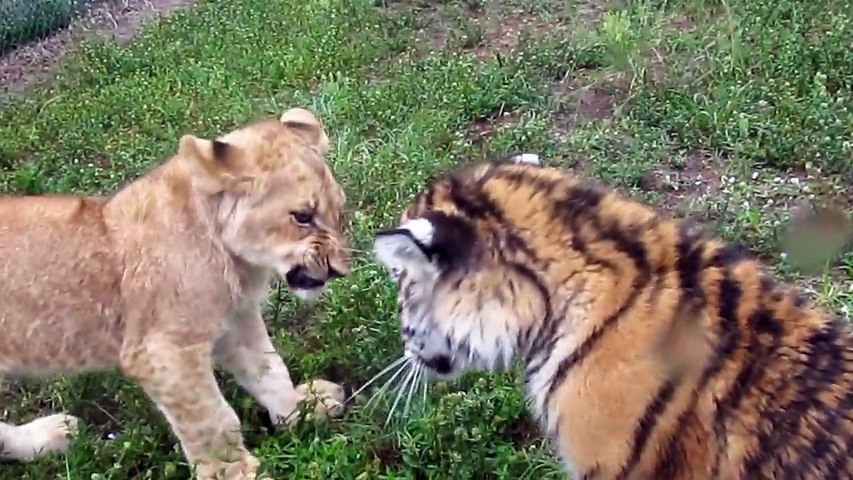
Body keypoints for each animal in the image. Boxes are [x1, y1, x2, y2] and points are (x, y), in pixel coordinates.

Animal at [0, 108, 350, 479]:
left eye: (338, 210)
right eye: (303, 216)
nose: (339, 270)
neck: (238, 263)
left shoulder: (236, 320)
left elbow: (269, 370)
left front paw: (303, 408)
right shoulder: (163, 352)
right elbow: (213, 420)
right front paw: (235, 472)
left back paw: (52, 435)